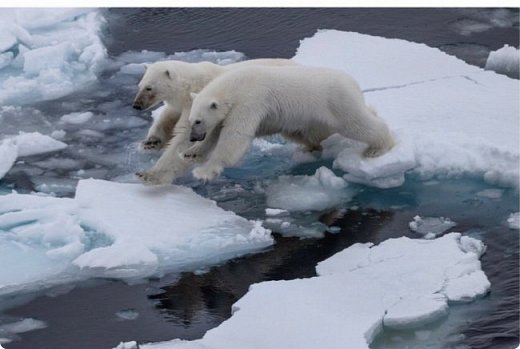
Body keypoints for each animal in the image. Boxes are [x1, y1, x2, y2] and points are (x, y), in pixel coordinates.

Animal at [134, 58, 296, 150]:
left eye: (149, 87)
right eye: (140, 85)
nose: (136, 105)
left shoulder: (198, 100)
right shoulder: (182, 103)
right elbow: (166, 118)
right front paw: (151, 141)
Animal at [183, 63, 394, 181]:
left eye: (198, 121)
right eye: (191, 120)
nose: (193, 137)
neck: (235, 86)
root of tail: (353, 83)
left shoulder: (251, 100)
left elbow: (235, 136)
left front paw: (203, 171)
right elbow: (217, 132)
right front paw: (191, 152)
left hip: (337, 101)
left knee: (356, 124)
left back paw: (377, 148)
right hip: (310, 117)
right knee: (305, 133)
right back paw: (310, 147)